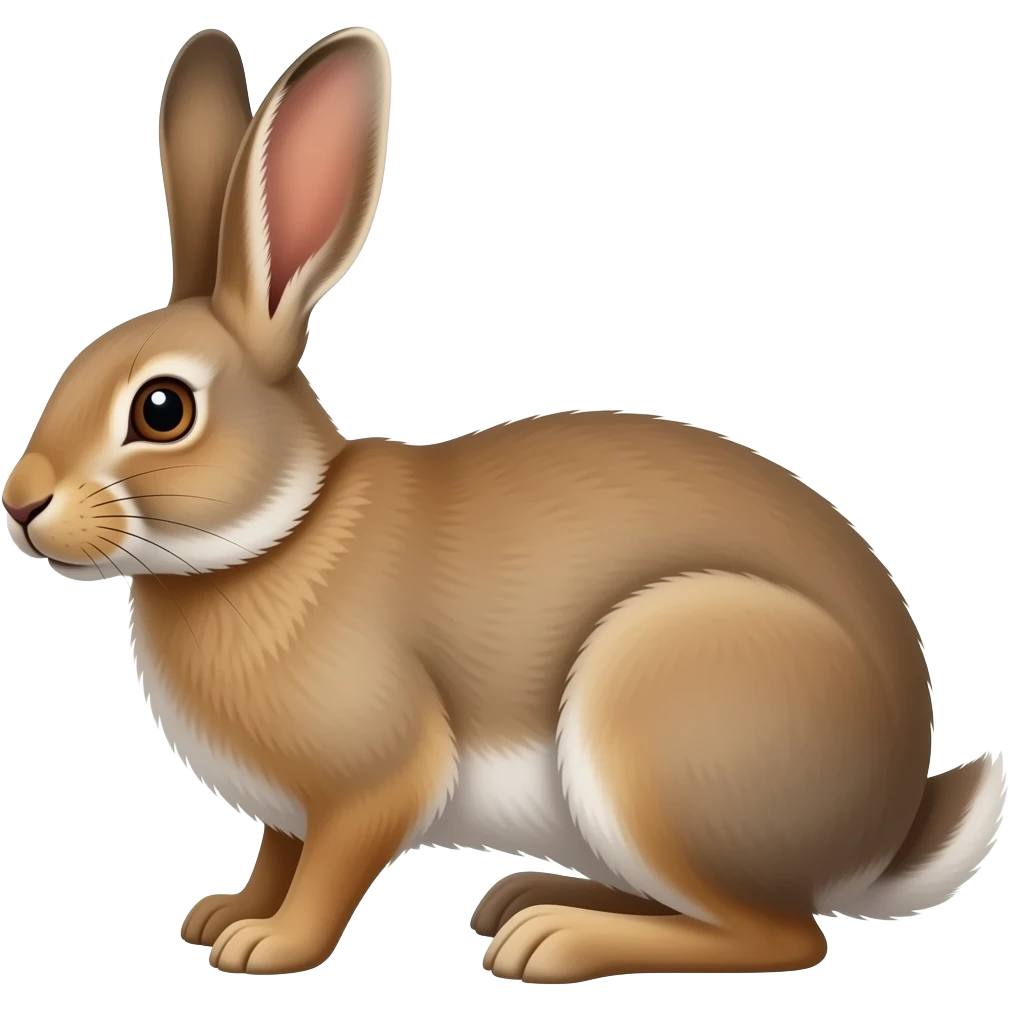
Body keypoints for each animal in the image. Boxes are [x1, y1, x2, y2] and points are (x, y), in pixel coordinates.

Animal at [2, 26, 1006, 983]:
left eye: (161, 410)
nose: (22, 504)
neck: (283, 532)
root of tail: (885, 834)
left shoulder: (371, 782)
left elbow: (329, 869)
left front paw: (269, 947)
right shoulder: (285, 810)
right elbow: (277, 854)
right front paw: (225, 915)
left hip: (657, 714)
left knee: (783, 935)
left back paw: (553, 942)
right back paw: (527, 899)